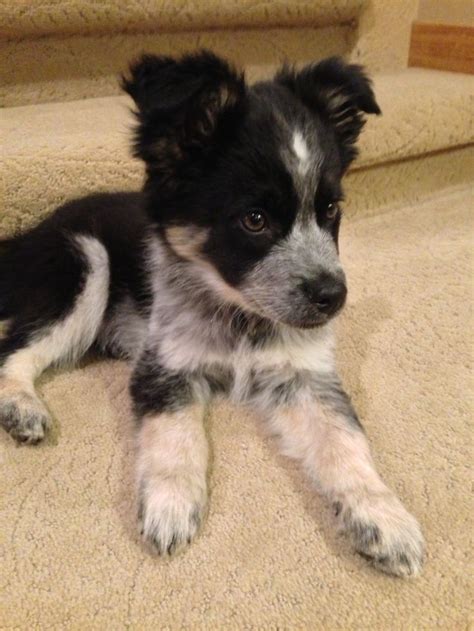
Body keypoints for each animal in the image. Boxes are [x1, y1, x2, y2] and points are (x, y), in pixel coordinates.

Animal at [0, 50, 422, 576]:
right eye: (255, 219)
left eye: (329, 210)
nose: (334, 297)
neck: (240, 315)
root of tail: (29, 232)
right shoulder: (165, 365)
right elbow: (175, 435)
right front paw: (171, 504)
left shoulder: (304, 375)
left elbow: (346, 440)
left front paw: (385, 518)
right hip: (83, 263)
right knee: (14, 348)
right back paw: (22, 407)